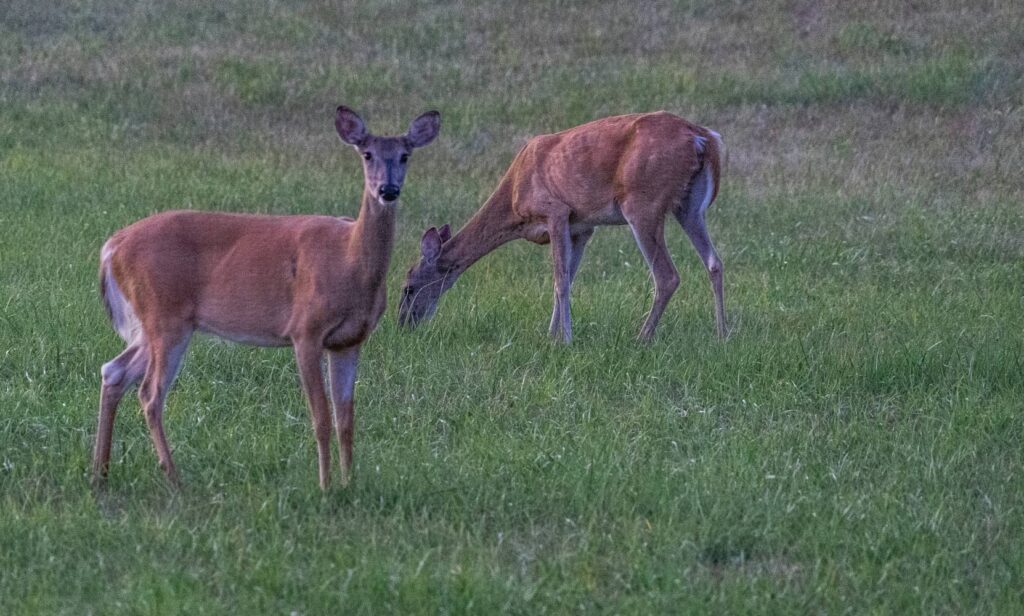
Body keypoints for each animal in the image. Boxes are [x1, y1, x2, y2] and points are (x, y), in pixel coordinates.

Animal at [93, 105, 440, 490]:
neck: (349, 261)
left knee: (113, 370)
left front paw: (349, 483)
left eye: (405, 155)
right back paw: (174, 477)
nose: (387, 189)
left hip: (155, 323)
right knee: (150, 394)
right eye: (367, 154)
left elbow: (346, 419)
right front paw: (325, 486)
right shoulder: (305, 330)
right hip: (164, 315)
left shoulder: (349, 341)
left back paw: (100, 472)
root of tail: (112, 247)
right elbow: (321, 417)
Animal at [397, 111, 725, 343]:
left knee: (667, 275)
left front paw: (563, 339)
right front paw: (552, 334)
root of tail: (703, 137)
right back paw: (723, 335)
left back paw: (641, 337)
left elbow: (560, 279)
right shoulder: (581, 226)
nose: (404, 324)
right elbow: (569, 276)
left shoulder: (555, 210)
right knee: (714, 262)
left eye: (408, 287)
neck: (514, 200)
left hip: (643, 202)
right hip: (690, 206)